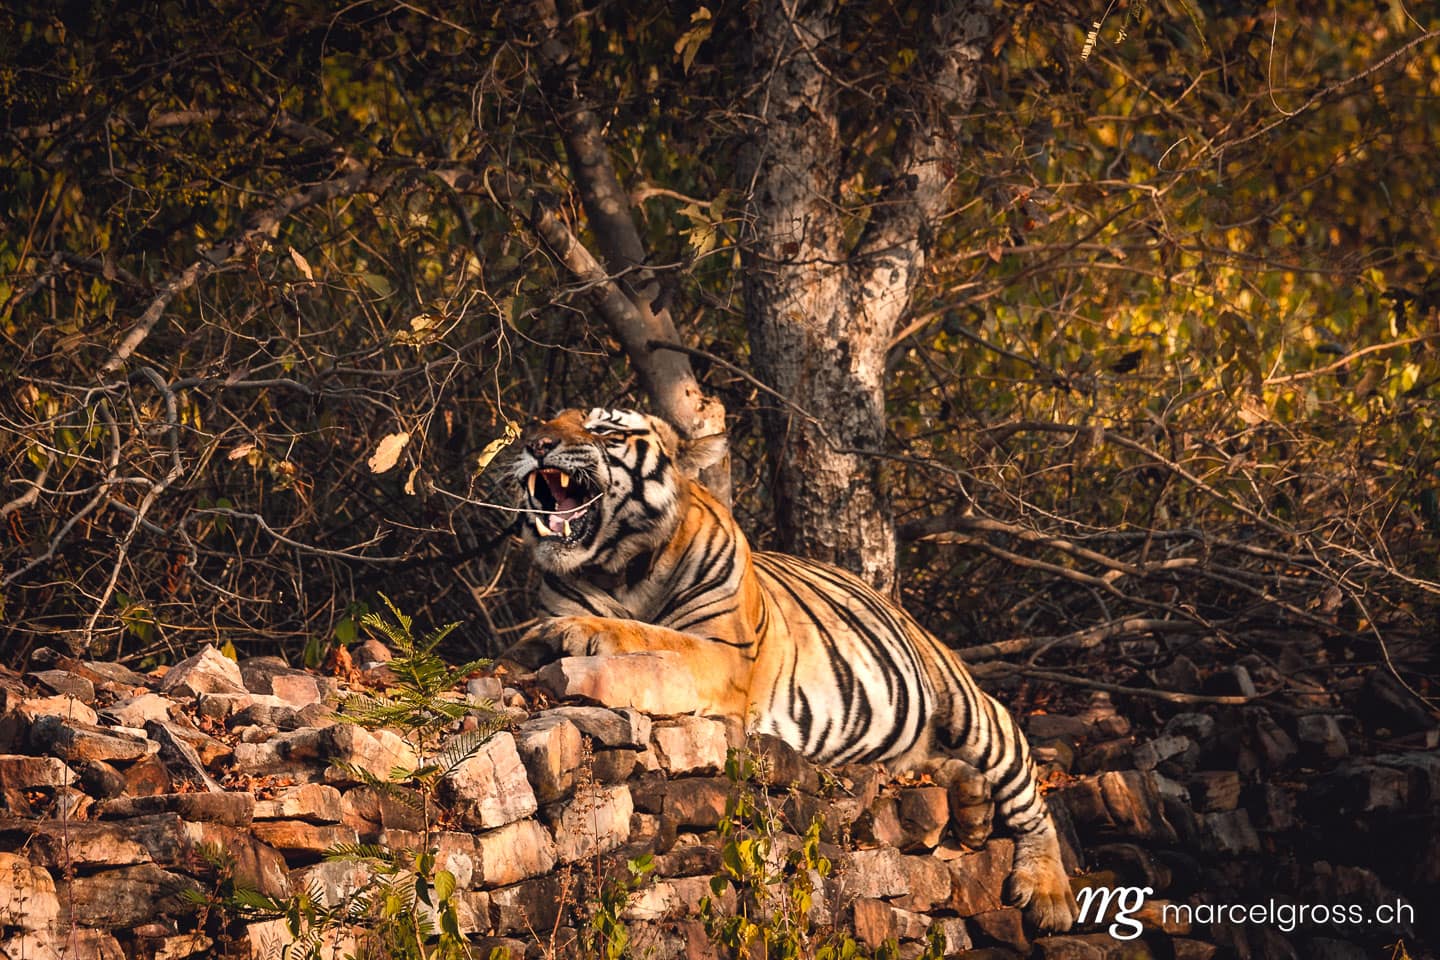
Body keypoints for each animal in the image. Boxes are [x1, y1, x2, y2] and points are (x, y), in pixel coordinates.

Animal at [502, 407, 1077, 932]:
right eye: (546, 419)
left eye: (605, 428)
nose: (535, 443)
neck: (619, 569)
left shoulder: (723, 653)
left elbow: (649, 635)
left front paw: (572, 632)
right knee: (920, 767)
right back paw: (973, 806)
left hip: (973, 712)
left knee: (1030, 797)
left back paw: (1049, 896)